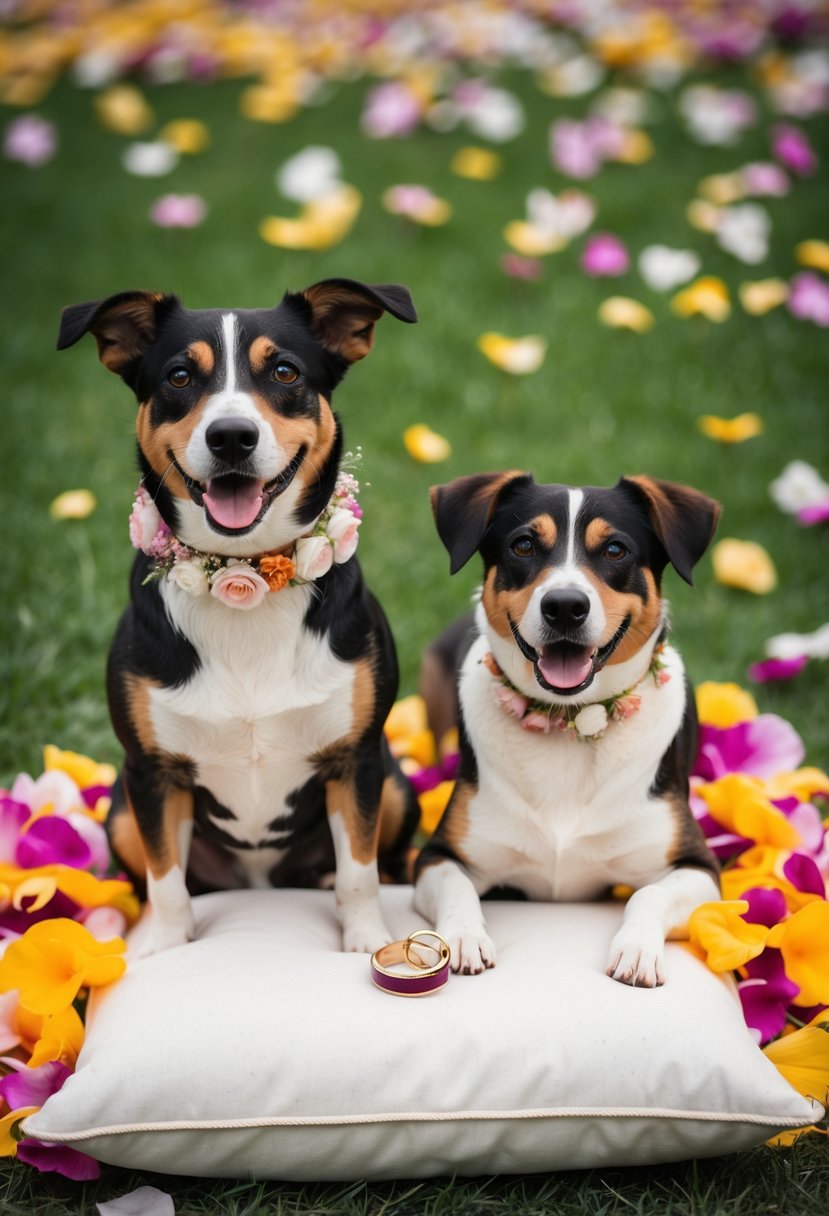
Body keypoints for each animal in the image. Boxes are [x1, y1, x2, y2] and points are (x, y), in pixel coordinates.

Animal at [58, 279, 420, 953]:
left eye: (284, 371)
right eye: (179, 376)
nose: (231, 436)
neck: (244, 578)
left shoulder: (357, 761)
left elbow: (359, 871)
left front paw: (366, 939)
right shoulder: (152, 773)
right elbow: (165, 878)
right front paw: (167, 945)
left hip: (396, 785)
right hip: (119, 810)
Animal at [415, 469, 719, 982]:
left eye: (615, 550)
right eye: (522, 545)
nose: (564, 606)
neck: (569, 720)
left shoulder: (698, 866)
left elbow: (648, 892)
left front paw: (637, 949)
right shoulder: (439, 854)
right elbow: (459, 886)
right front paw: (462, 937)